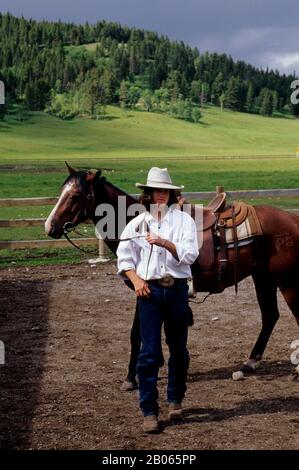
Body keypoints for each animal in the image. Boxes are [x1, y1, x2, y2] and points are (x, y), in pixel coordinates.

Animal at [45, 165, 299, 386]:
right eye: (61, 191)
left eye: (75, 195)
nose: (49, 226)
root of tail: (293, 220)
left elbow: (138, 332)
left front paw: (131, 378)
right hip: (263, 278)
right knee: (270, 316)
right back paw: (250, 362)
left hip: (286, 281)